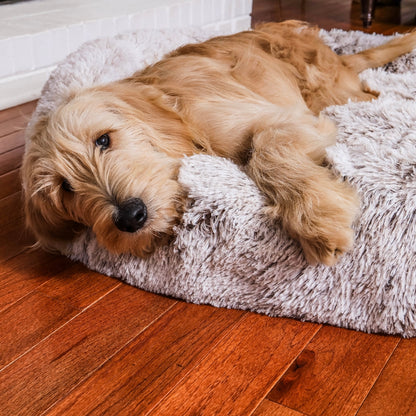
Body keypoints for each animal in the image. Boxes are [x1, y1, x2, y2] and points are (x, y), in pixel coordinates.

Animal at [22, 20, 416, 264]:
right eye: (65, 189)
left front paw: (316, 216)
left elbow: (265, 149)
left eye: (103, 140)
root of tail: (338, 58)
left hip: (332, 94)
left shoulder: (289, 119)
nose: (131, 217)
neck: (181, 116)